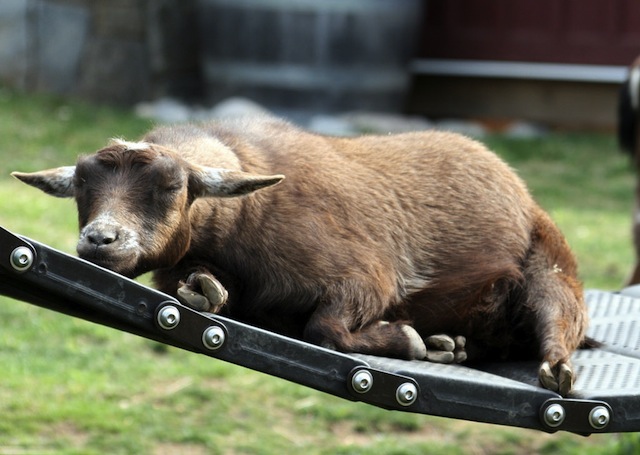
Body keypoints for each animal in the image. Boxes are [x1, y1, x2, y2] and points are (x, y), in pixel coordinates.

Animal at [12, 117, 588, 395]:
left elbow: (325, 328)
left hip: (551, 269)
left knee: (557, 321)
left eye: (171, 186)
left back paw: (552, 367)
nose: (100, 240)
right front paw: (204, 292)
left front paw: (409, 340)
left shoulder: (366, 276)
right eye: (81, 184)